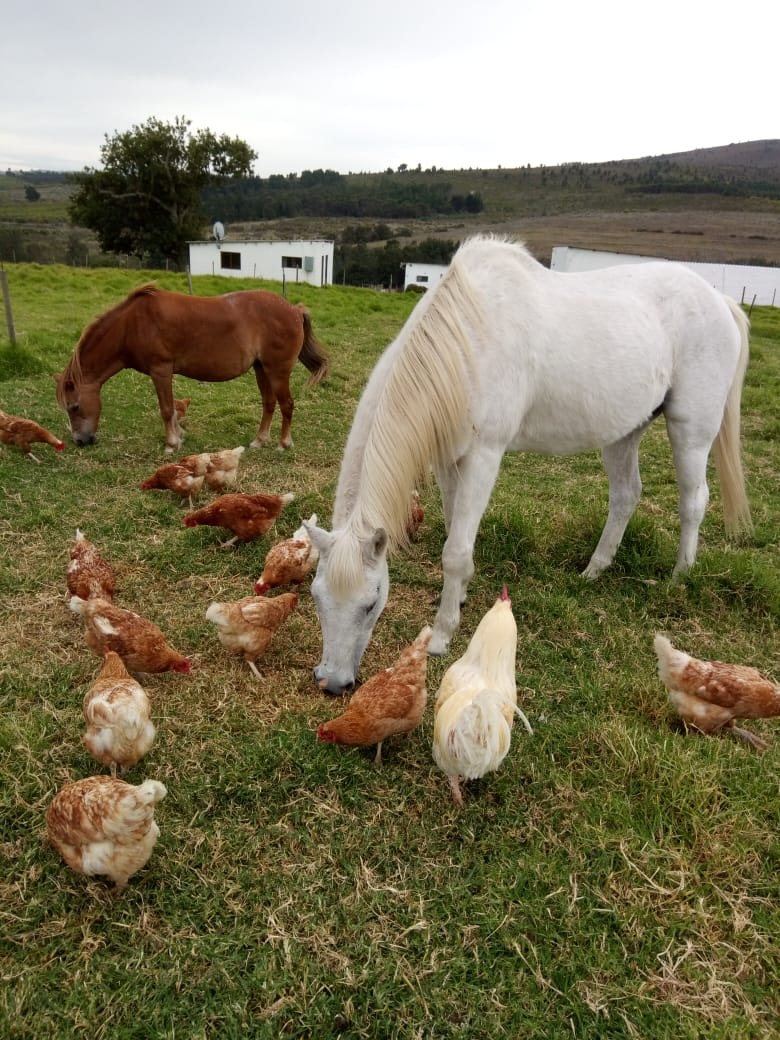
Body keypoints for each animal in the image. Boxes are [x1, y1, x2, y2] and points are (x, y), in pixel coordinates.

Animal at [55, 285, 329, 451]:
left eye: (74, 406)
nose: (80, 441)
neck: (132, 325)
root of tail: (294, 309)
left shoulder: (161, 370)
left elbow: (166, 409)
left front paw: (171, 443)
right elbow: (173, 408)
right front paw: (179, 437)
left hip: (277, 371)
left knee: (287, 405)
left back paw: (284, 443)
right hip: (261, 369)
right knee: (269, 404)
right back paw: (259, 441)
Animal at [305, 236, 752, 694]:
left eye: (372, 601)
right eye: (315, 596)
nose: (333, 682)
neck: (466, 342)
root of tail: (719, 299)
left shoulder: (485, 455)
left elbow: (456, 550)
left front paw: (443, 634)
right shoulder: (450, 459)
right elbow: (453, 530)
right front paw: (459, 597)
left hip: (691, 430)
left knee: (693, 501)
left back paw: (680, 576)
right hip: (623, 432)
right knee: (626, 496)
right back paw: (594, 571)